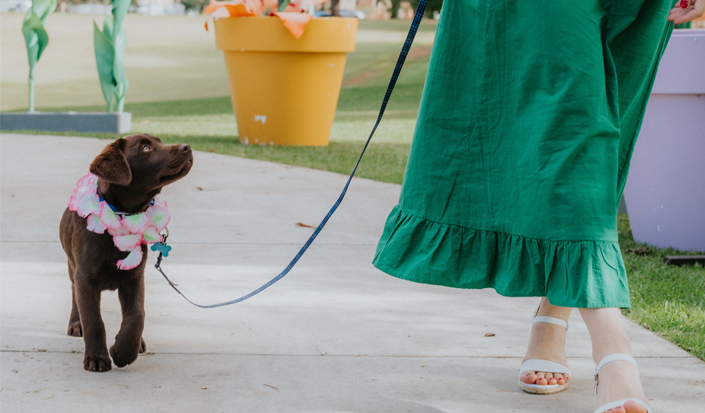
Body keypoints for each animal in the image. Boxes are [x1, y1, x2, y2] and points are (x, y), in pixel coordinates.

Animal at [60, 134, 192, 372]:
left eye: (159, 141)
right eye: (146, 148)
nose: (187, 147)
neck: (123, 215)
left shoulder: (134, 276)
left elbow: (136, 314)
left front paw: (124, 352)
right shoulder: (86, 277)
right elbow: (93, 319)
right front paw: (97, 358)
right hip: (72, 265)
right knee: (75, 293)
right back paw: (76, 323)